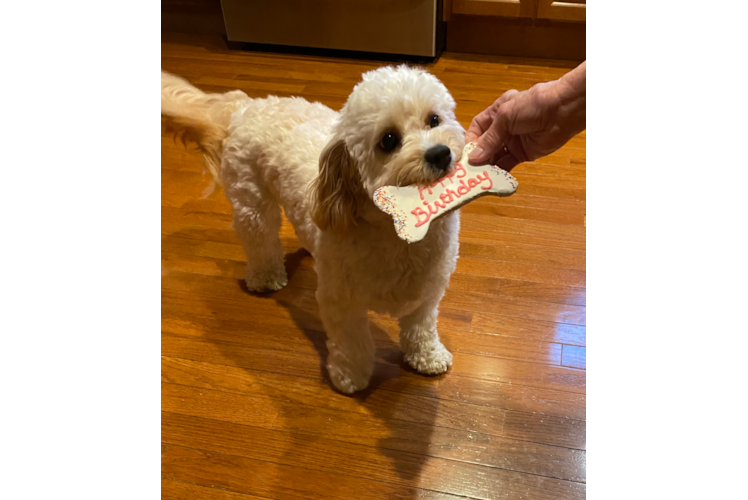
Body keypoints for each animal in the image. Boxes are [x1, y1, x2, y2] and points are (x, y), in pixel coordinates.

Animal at [163, 66, 464, 392]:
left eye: (433, 119)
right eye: (388, 140)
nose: (440, 153)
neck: (400, 233)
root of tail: (249, 105)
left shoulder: (427, 294)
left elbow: (421, 330)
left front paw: (428, 356)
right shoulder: (342, 302)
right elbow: (352, 343)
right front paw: (350, 376)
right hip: (252, 204)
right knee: (259, 240)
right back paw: (264, 276)